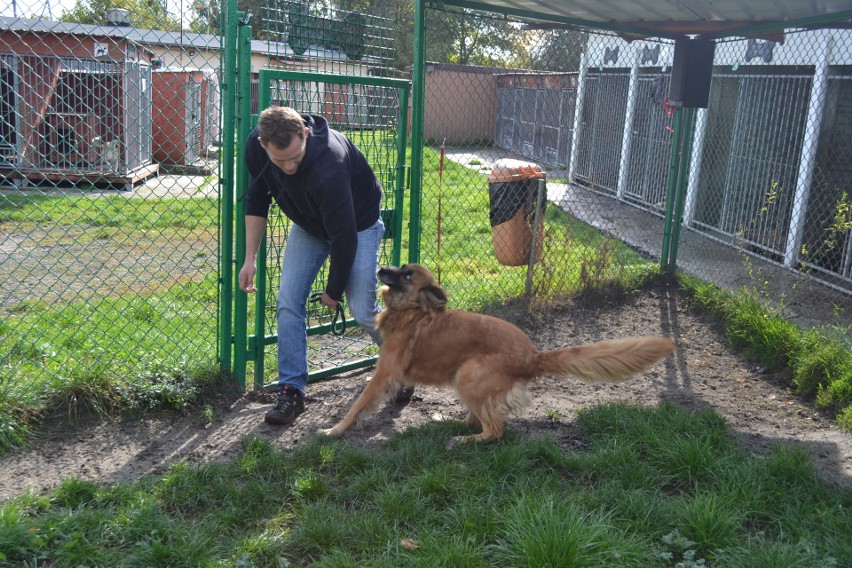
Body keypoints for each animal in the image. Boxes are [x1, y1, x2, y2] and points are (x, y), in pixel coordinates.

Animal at [318, 262, 672, 448]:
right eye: (400, 268)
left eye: (407, 275)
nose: (380, 268)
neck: (412, 311)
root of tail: (533, 355)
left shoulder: (383, 374)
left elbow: (358, 405)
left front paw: (335, 431)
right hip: (466, 377)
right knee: (485, 417)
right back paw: (460, 423)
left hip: (468, 375)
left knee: (496, 429)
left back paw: (465, 439)